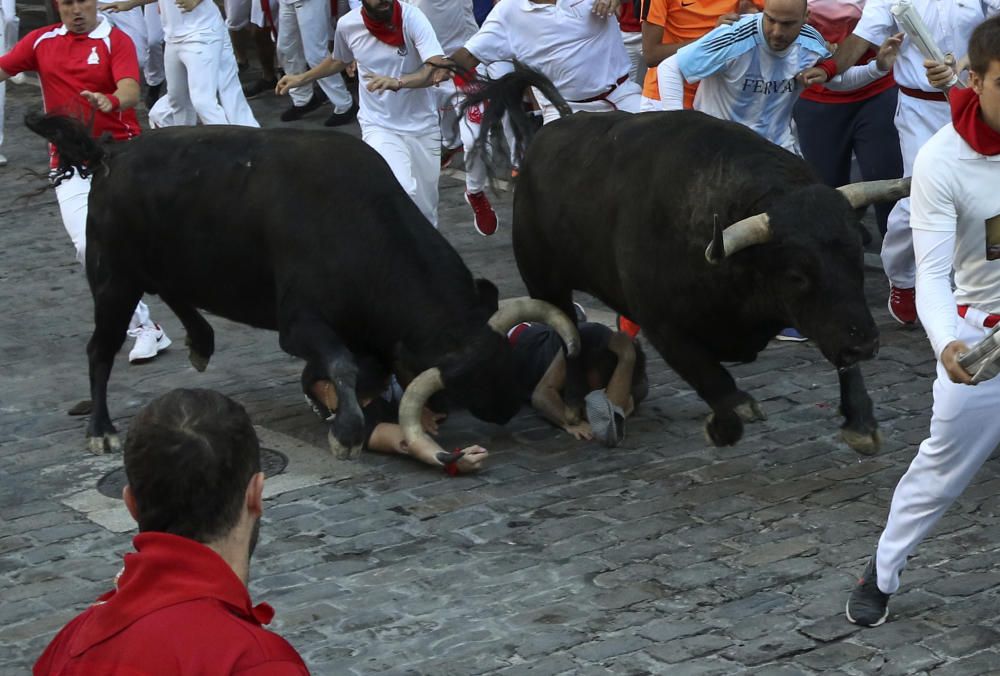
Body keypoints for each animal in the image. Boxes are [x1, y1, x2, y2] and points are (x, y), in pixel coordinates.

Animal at [27, 113, 580, 456]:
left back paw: (202, 343)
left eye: (502, 358)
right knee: (100, 350)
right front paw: (347, 432)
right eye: (465, 380)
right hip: (113, 281)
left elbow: (349, 369)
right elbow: (340, 363)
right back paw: (101, 429)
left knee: (175, 292)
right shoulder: (298, 324)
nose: (509, 405)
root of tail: (110, 157)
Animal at [464, 72, 912, 454]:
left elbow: (843, 362)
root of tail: (551, 132)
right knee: (567, 333)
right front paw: (723, 426)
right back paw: (574, 406)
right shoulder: (664, 326)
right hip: (543, 279)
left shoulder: (835, 320)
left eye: (856, 257)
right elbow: (718, 385)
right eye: (797, 274)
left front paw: (860, 425)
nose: (866, 344)